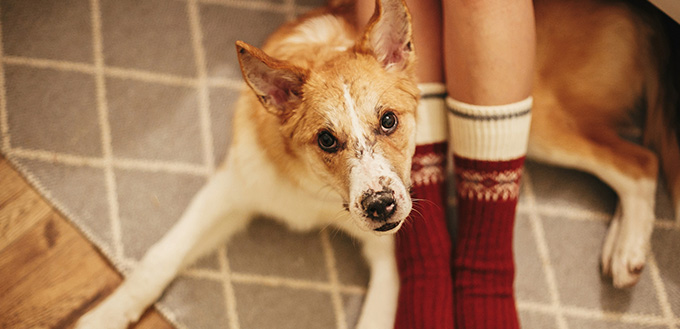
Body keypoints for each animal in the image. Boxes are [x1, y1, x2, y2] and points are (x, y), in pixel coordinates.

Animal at [77, 0, 676, 326]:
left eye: (389, 121)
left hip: (538, 118)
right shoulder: (232, 186)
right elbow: (159, 258)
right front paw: (105, 314)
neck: (317, 194)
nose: (383, 206)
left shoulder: (393, 257)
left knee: (640, 160)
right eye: (325, 139)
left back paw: (626, 248)